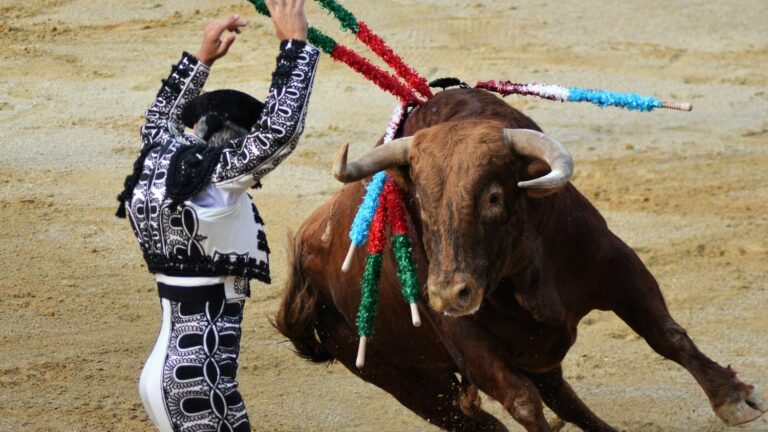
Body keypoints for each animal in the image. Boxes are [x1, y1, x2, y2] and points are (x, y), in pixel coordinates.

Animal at [272, 88, 764, 432]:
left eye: (492, 197)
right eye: (422, 204)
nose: (448, 293)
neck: (522, 274)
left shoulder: (616, 265)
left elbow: (667, 334)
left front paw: (734, 399)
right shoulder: (462, 336)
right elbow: (521, 401)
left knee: (559, 394)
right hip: (406, 382)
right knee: (483, 420)